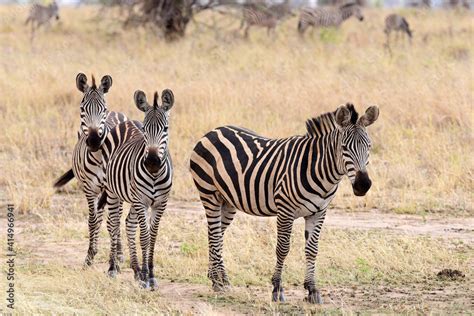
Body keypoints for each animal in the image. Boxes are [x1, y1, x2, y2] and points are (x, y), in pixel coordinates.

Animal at [53, 73, 128, 266]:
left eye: (103, 109)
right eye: (82, 109)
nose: (94, 141)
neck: (100, 156)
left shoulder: (111, 188)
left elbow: (113, 221)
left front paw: (115, 256)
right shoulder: (89, 188)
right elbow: (93, 220)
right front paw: (90, 255)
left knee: (115, 216)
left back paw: (120, 252)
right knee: (100, 216)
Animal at [97, 89, 175, 288]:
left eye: (165, 129)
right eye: (145, 130)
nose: (152, 162)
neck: (155, 175)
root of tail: (127, 122)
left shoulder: (160, 203)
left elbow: (153, 237)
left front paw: (150, 275)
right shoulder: (142, 201)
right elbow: (145, 237)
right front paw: (146, 277)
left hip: (132, 198)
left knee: (129, 224)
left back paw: (136, 270)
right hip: (113, 192)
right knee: (114, 224)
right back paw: (113, 268)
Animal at [189, 103, 378, 304]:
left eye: (369, 146)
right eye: (344, 148)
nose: (363, 185)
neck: (319, 169)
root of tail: (213, 131)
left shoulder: (319, 212)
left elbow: (312, 249)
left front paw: (312, 290)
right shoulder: (285, 210)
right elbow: (283, 249)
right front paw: (277, 289)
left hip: (228, 201)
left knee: (215, 233)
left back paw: (217, 278)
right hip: (209, 193)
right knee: (215, 233)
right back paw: (220, 282)